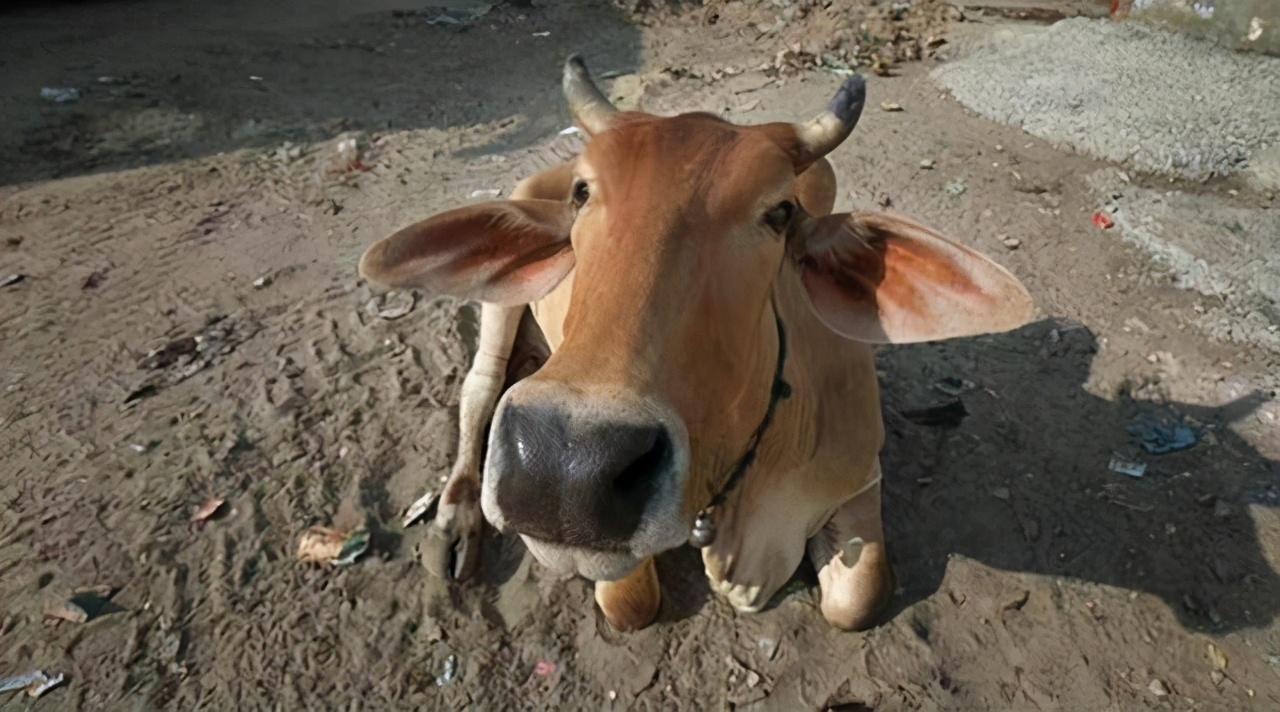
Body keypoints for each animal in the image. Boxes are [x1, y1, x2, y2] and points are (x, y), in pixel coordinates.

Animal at [358, 58, 1029, 632]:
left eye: (780, 212)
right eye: (582, 192)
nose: (564, 470)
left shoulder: (862, 476)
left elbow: (858, 602)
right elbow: (630, 603)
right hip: (503, 299)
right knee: (480, 388)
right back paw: (456, 521)